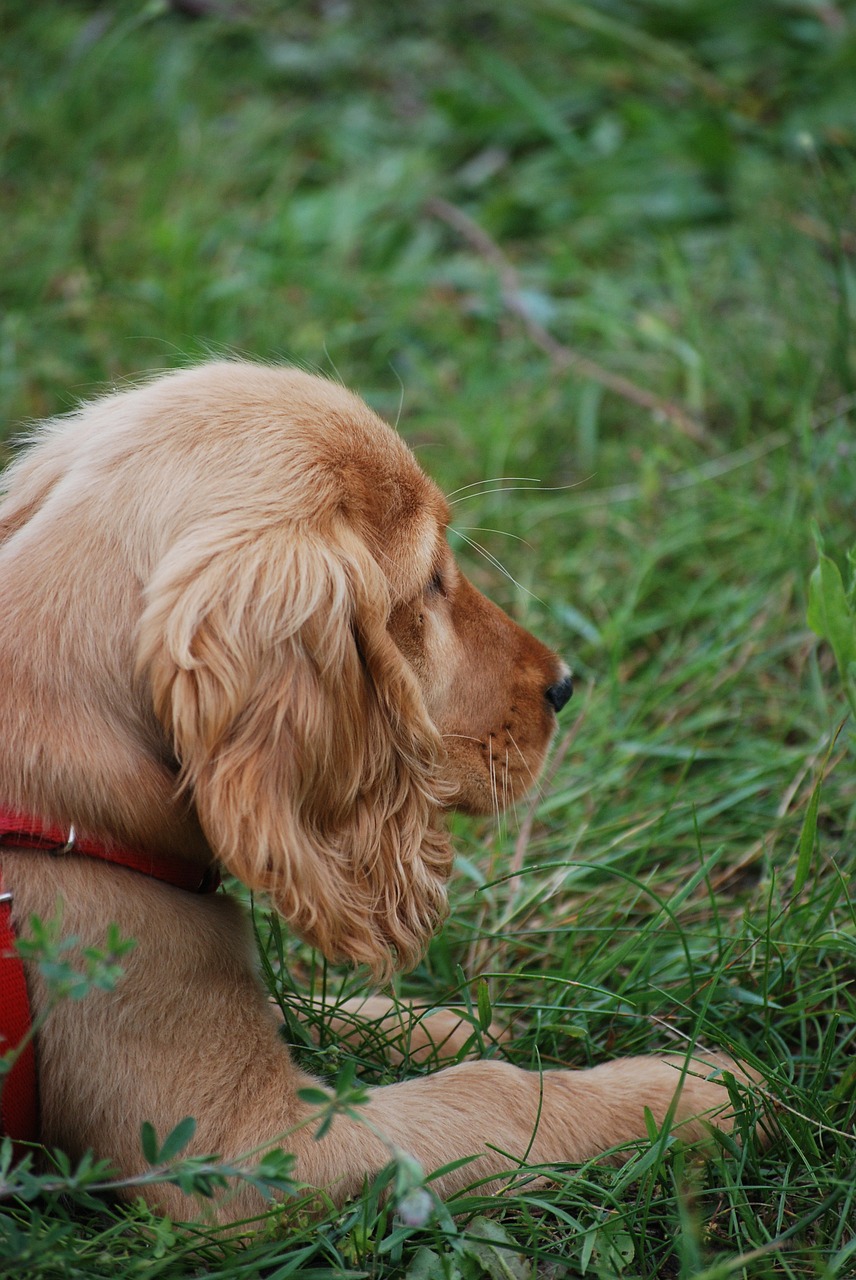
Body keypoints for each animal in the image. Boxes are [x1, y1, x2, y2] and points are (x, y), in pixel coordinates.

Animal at [0, 360, 752, 1218]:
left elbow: (313, 1007)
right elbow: (490, 1094)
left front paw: (433, 1025)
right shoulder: (235, 1154)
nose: (563, 687)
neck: (65, 815)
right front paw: (699, 1094)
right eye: (428, 583)